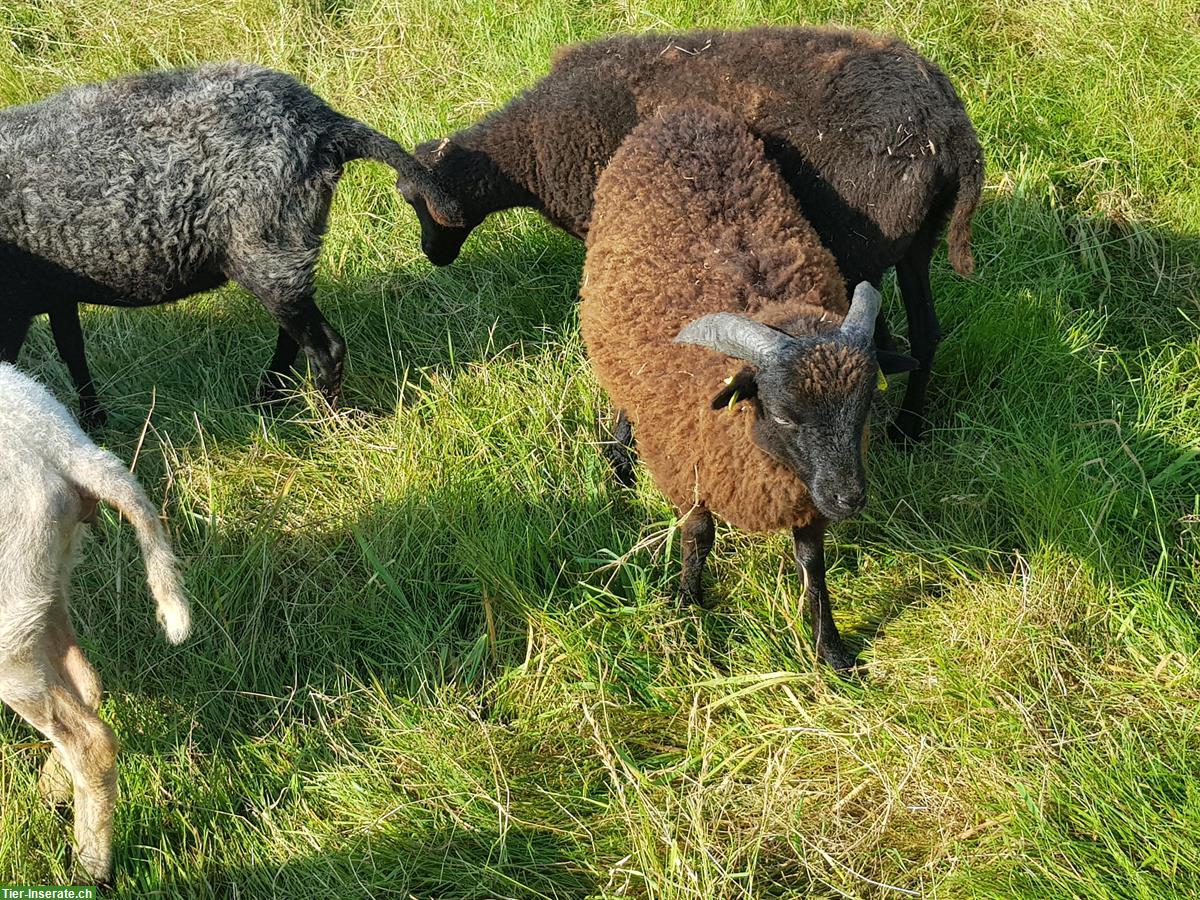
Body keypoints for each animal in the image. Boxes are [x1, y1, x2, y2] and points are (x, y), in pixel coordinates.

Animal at [408, 23, 979, 441]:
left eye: (417, 202)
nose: (431, 255)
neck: (528, 149)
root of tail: (951, 131)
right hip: (916, 241)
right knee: (924, 333)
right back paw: (908, 429)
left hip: (863, 242)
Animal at [576, 103, 912, 672]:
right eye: (783, 415)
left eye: (866, 407)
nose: (849, 500)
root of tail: (681, 113)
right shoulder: (689, 465)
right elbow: (698, 536)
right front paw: (688, 604)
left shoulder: (805, 494)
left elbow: (812, 565)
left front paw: (831, 649)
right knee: (622, 397)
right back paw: (619, 461)